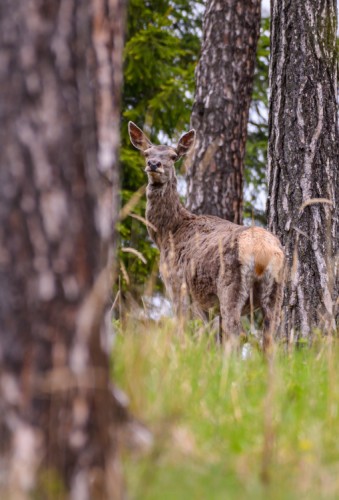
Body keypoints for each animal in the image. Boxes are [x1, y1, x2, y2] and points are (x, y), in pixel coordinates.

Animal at [129, 121, 286, 352]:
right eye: (147, 153)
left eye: (174, 156)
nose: (154, 164)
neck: (168, 233)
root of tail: (262, 254)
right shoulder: (209, 304)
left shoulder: (178, 286)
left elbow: (188, 332)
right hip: (276, 289)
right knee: (270, 337)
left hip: (230, 285)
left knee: (236, 332)